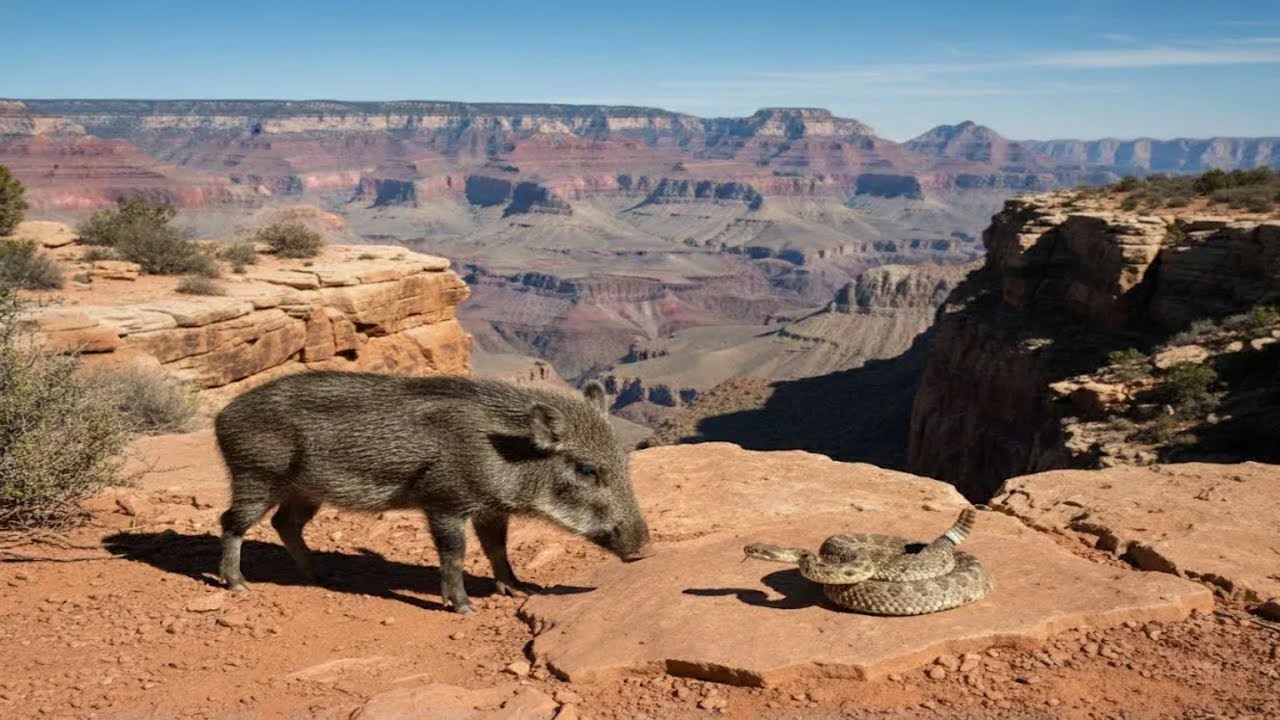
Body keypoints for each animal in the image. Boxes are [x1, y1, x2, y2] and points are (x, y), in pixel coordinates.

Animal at [213, 371, 651, 614]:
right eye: (586, 469)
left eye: (622, 458)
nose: (645, 549)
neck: (506, 455)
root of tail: (222, 416)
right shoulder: (444, 501)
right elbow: (454, 554)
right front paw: (464, 607)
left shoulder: (491, 509)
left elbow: (498, 549)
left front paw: (518, 588)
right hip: (257, 475)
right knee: (232, 522)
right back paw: (238, 585)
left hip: (306, 491)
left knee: (285, 523)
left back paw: (322, 575)